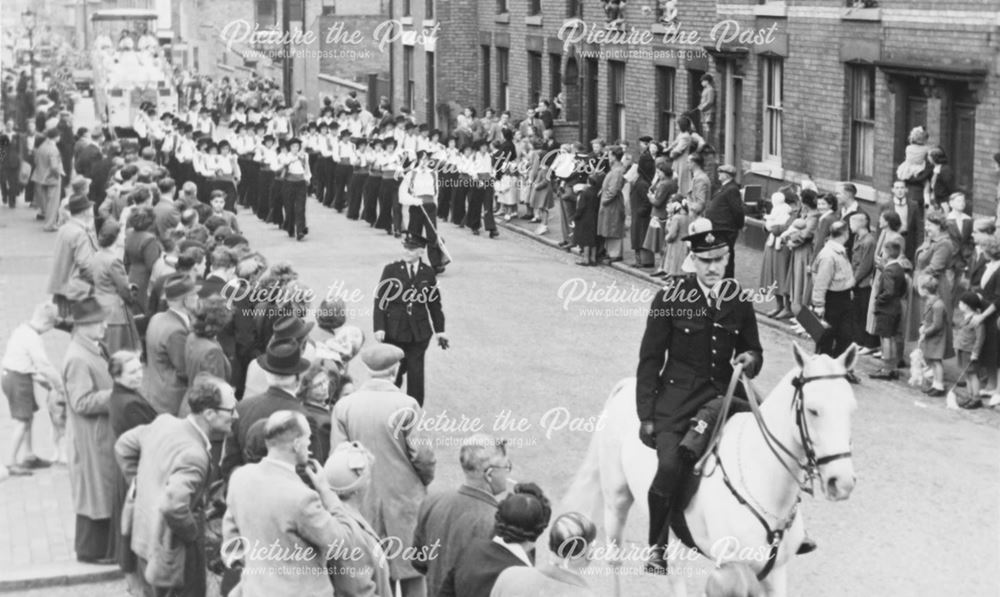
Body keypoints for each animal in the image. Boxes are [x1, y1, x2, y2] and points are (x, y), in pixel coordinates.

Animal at [564, 342, 860, 592]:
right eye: (813, 410)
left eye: (851, 409)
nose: (842, 482)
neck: (763, 480)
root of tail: (630, 386)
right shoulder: (729, 569)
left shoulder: (775, 572)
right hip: (617, 499)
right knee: (616, 559)